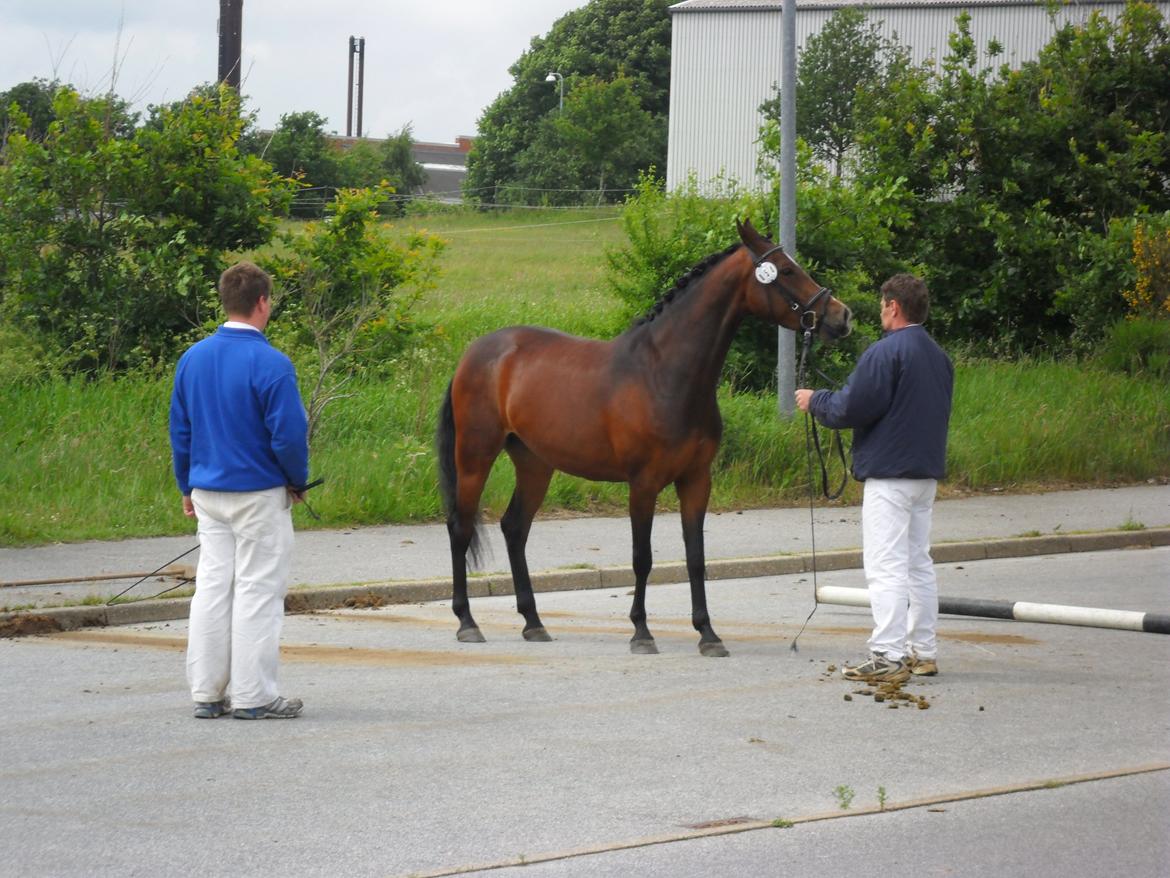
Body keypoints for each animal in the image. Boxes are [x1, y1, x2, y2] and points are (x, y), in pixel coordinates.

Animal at [437, 221, 851, 655]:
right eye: (786, 270)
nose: (841, 315)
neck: (664, 373)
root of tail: (475, 353)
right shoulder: (643, 483)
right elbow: (643, 557)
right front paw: (641, 632)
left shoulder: (696, 480)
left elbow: (695, 556)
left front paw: (708, 634)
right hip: (475, 455)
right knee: (460, 528)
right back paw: (467, 622)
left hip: (535, 463)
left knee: (515, 528)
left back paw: (533, 623)